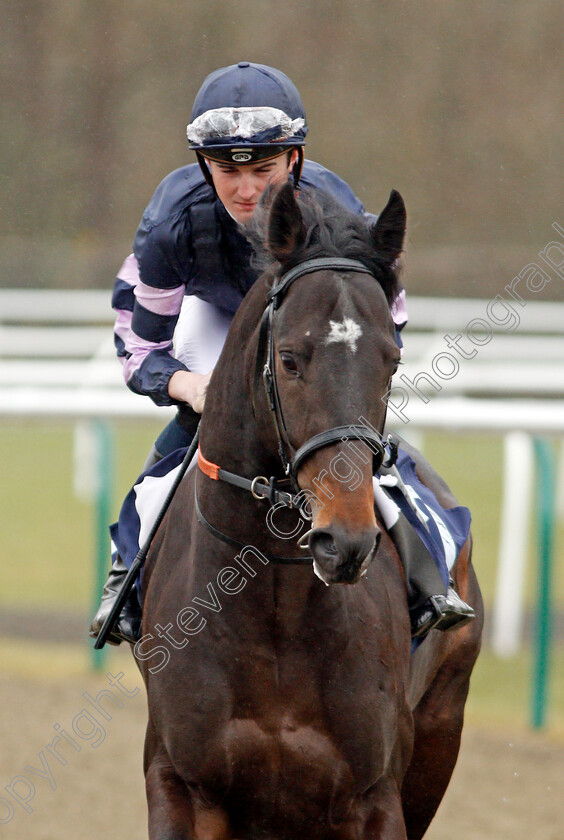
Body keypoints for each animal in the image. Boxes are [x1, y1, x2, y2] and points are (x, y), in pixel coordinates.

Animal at [138, 184, 484, 840]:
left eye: (392, 361)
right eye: (291, 359)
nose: (344, 541)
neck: (275, 610)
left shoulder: (375, 797)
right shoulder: (182, 784)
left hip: (440, 734)